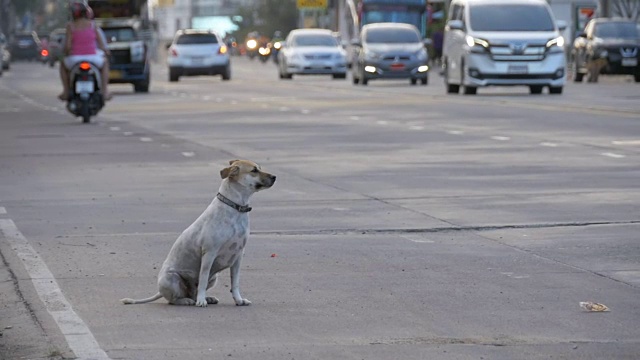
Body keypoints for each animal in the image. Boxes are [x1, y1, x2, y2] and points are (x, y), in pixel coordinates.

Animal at [121, 160, 276, 306]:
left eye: (259, 168)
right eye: (254, 170)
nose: (274, 176)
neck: (235, 208)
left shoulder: (238, 256)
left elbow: (235, 283)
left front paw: (239, 300)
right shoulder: (209, 254)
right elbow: (203, 279)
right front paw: (201, 301)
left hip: (214, 278)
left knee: (193, 293)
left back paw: (207, 298)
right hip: (171, 278)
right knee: (174, 299)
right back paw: (188, 300)